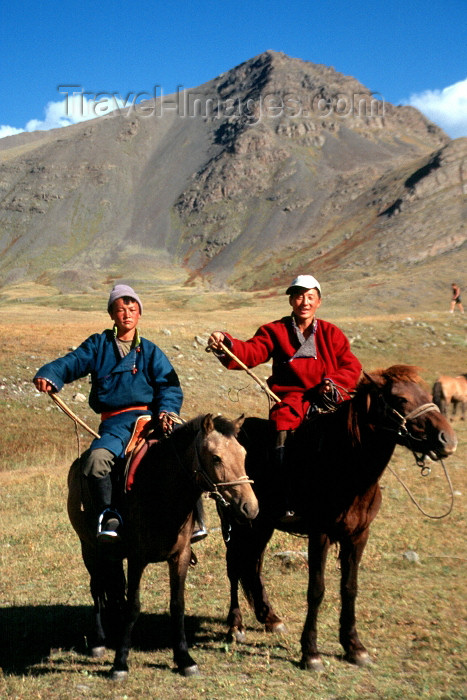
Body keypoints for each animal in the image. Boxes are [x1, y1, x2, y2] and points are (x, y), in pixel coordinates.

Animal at [67, 412, 260, 680]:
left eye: (243, 454)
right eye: (216, 458)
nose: (250, 508)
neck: (160, 490)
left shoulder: (180, 555)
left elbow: (177, 605)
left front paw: (184, 659)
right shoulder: (136, 558)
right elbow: (133, 606)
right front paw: (120, 663)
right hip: (89, 548)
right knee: (96, 589)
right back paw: (98, 641)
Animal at [222, 364, 458, 668]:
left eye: (429, 395)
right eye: (400, 399)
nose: (447, 440)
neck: (346, 468)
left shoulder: (358, 536)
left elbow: (350, 588)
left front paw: (354, 646)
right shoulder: (320, 534)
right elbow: (317, 589)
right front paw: (310, 652)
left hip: (261, 524)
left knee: (252, 565)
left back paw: (270, 617)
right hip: (237, 521)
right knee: (234, 565)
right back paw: (235, 625)